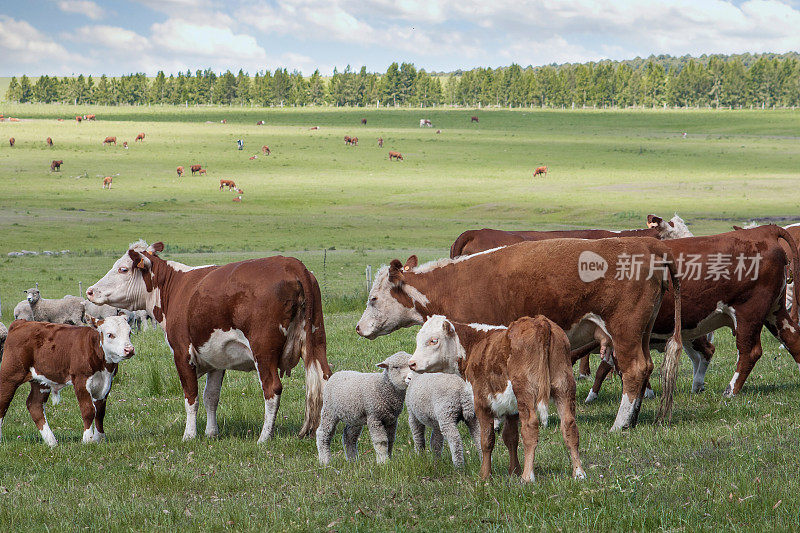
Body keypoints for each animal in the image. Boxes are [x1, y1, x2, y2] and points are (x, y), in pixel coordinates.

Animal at [0, 314, 134, 446]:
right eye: (110, 334)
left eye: (129, 333)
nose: (129, 350)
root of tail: (21, 323)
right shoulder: (81, 379)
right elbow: (88, 410)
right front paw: (88, 440)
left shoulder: (107, 383)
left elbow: (100, 412)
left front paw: (100, 438)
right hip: (10, 375)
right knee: (3, 402)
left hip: (41, 381)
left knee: (34, 405)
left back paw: (51, 442)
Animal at [88, 241, 334, 440]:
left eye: (122, 269)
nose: (90, 291)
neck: (173, 288)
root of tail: (291, 263)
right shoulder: (217, 357)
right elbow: (211, 396)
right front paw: (211, 433)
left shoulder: (182, 354)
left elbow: (192, 397)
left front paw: (189, 435)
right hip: (317, 342)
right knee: (325, 380)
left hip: (263, 352)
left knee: (272, 389)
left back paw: (264, 438)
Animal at [360, 239, 684, 430]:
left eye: (373, 299)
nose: (358, 328)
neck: (451, 285)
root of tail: (646, 245)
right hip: (641, 332)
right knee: (646, 368)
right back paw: (633, 418)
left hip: (625, 330)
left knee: (634, 369)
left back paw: (619, 424)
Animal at [410, 314, 584, 480]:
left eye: (434, 340)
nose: (412, 363)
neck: (475, 345)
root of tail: (539, 322)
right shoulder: (511, 408)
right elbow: (511, 438)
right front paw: (514, 471)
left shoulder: (481, 402)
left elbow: (486, 439)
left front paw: (485, 475)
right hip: (564, 385)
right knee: (569, 425)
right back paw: (579, 473)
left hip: (526, 391)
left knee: (530, 427)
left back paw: (528, 476)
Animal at [588, 222, 800, 402]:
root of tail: (763, 231)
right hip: (774, 311)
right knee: (793, 339)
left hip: (748, 312)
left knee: (750, 351)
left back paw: (730, 390)